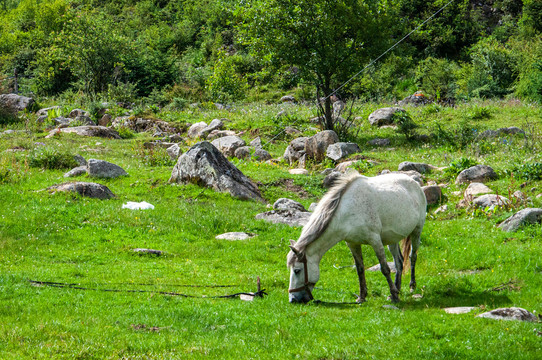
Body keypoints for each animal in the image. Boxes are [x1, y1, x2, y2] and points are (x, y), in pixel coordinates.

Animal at [292, 173, 428, 302]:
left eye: (297, 270)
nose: (293, 299)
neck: (348, 212)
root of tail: (415, 183)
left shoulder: (375, 241)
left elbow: (385, 268)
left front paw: (394, 295)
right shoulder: (352, 243)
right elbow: (360, 269)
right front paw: (362, 297)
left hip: (417, 231)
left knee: (412, 256)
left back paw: (411, 286)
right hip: (392, 239)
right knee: (399, 262)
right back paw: (397, 289)